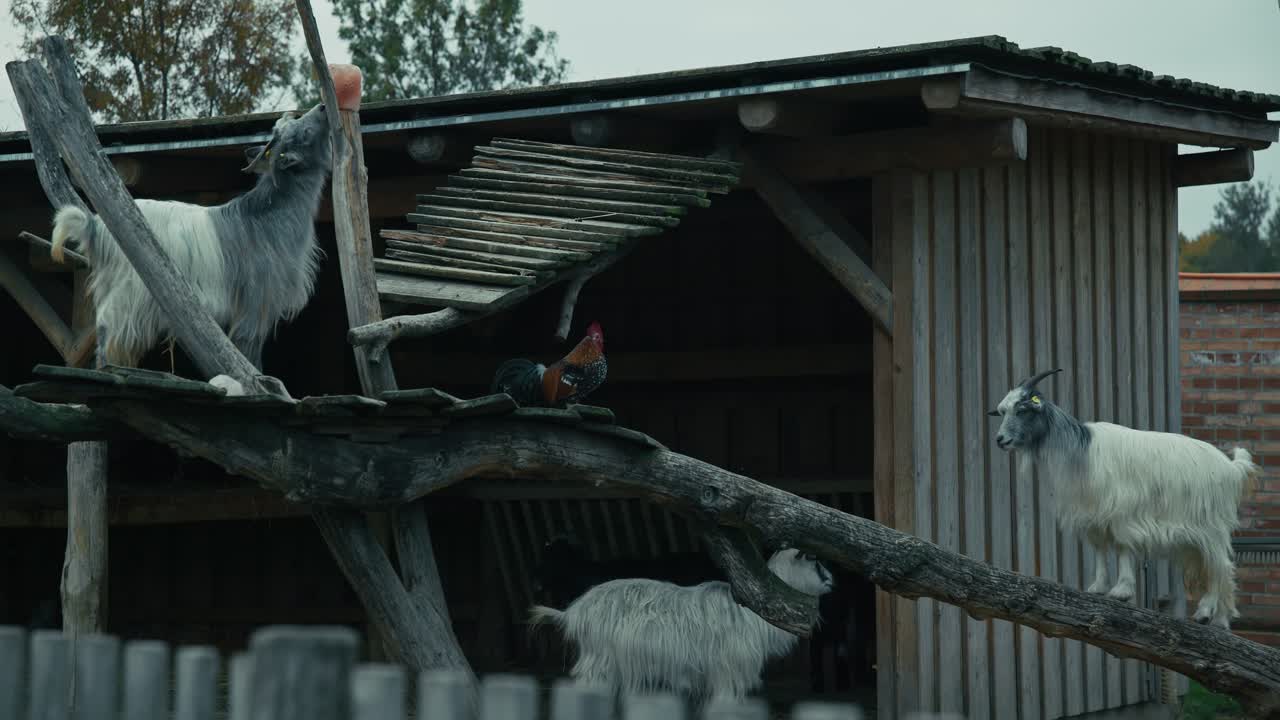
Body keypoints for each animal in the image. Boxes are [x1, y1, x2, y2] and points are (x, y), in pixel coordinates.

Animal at [49, 104, 332, 371]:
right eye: (303, 132)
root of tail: (96, 226)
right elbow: (248, 344)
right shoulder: (255, 298)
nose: (322, 108)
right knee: (109, 326)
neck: (267, 215)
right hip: (129, 288)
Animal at [528, 547, 833, 707]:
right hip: (599, 659)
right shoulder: (729, 669)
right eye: (815, 560)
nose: (833, 580)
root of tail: (573, 611)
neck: (756, 613)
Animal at [990, 368, 1259, 629]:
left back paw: (1206, 613)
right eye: (1002, 411)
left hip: (1211, 528)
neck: (1081, 452)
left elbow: (1122, 547)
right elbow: (1099, 549)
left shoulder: (1122, 512)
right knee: (1216, 569)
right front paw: (1098, 587)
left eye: (1022, 410)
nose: (1000, 440)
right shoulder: (1092, 515)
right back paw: (1221, 620)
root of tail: (1231, 468)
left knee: (1220, 566)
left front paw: (1121, 591)